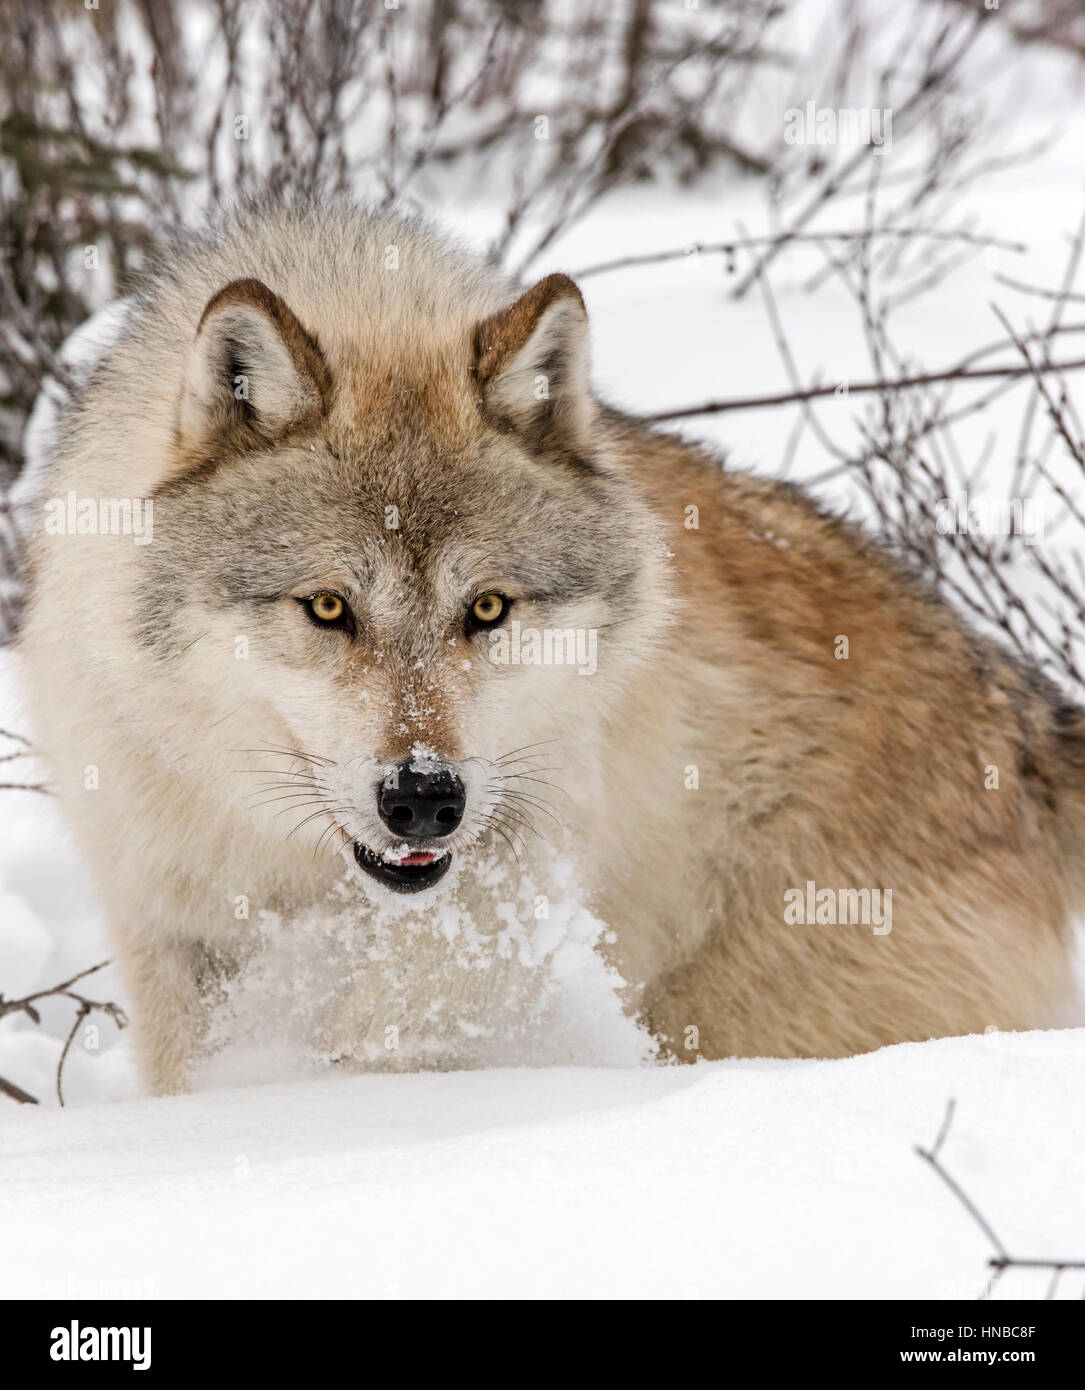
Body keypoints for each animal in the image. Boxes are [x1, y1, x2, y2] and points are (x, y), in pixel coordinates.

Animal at [13, 202, 1085, 1093]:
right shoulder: (171, 931)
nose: (423, 799)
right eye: (327, 607)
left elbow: (397, 1022)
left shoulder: (517, 866)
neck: (295, 863)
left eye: (487, 608)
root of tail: (1020, 726)